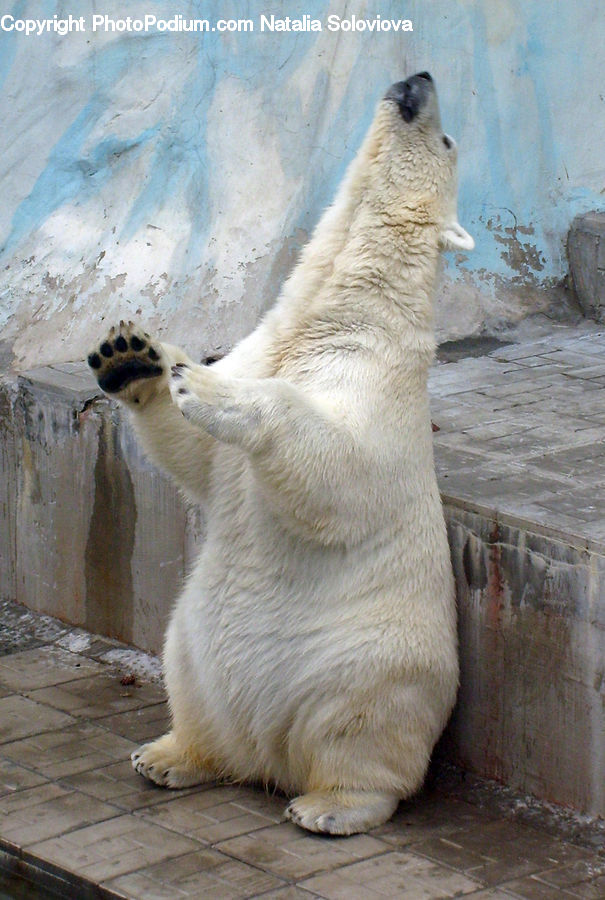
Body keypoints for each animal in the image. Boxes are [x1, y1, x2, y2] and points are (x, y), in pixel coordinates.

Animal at [88, 71, 474, 835]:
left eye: (445, 139)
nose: (419, 77)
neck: (332, 319)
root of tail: (269, 754)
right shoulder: (262, 345)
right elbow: (195, 458)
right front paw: (130, 357)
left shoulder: (375, 396)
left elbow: (336, 474)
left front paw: (204, 386)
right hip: (192, 641)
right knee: (190, 683)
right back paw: (169, 756)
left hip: (373, 661)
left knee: (363, 732)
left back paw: (329, 807)